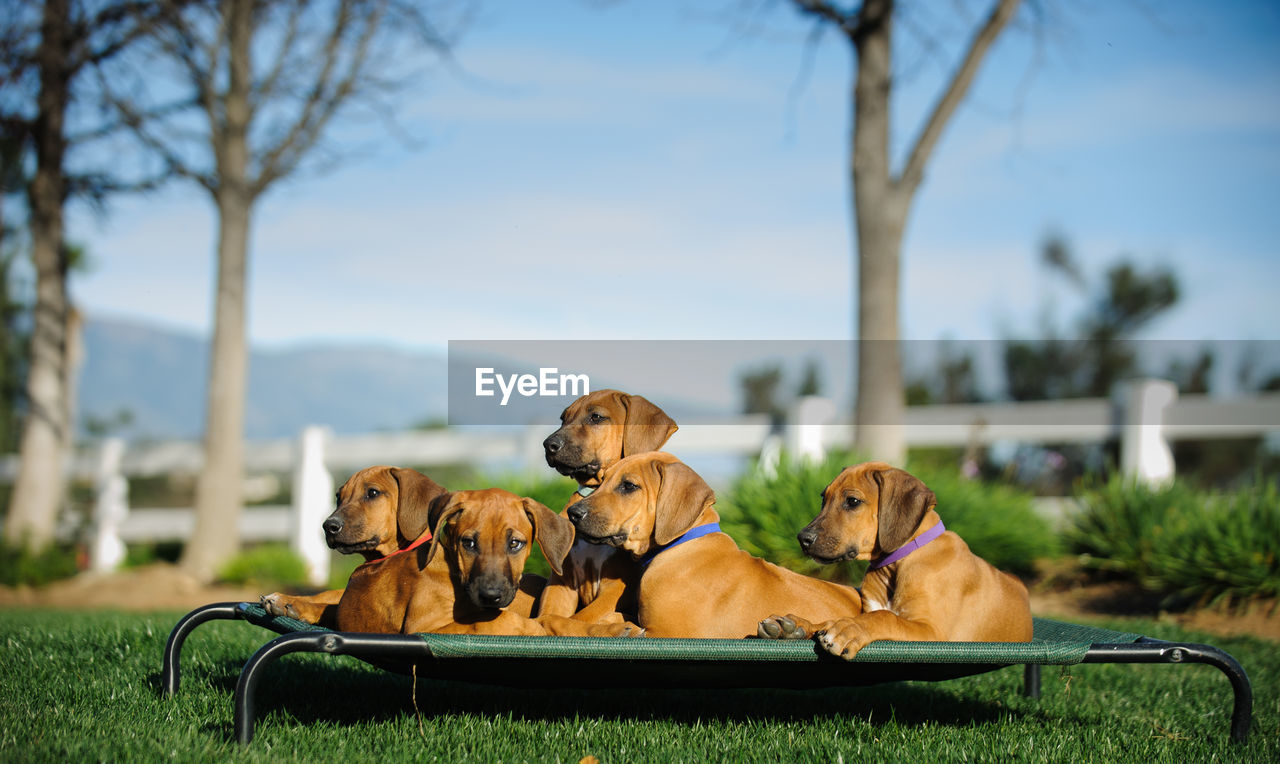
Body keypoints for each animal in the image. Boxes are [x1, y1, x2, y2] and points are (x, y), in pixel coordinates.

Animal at [257, 465, 448, 624]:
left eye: (373, 493)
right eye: (338, 497)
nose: (328, 526)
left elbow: (330, 608)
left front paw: (298, 607)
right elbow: (328, 594)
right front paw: (286, 599)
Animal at [540, 386, 680, 619]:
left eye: (596, 417)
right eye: (563, 419)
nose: (548, 445)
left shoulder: (616, 588)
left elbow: (582, 617)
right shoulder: (562, 582)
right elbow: (545, 616)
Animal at [752, 460, 1034, 660]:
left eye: (852, 501)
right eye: (824, 498)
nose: (802, 538)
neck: (898, 562)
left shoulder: (934, 632)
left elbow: (884, 617)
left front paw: (847, 629)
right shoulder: (868, 609)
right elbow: (842, 616)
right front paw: (797, 625)